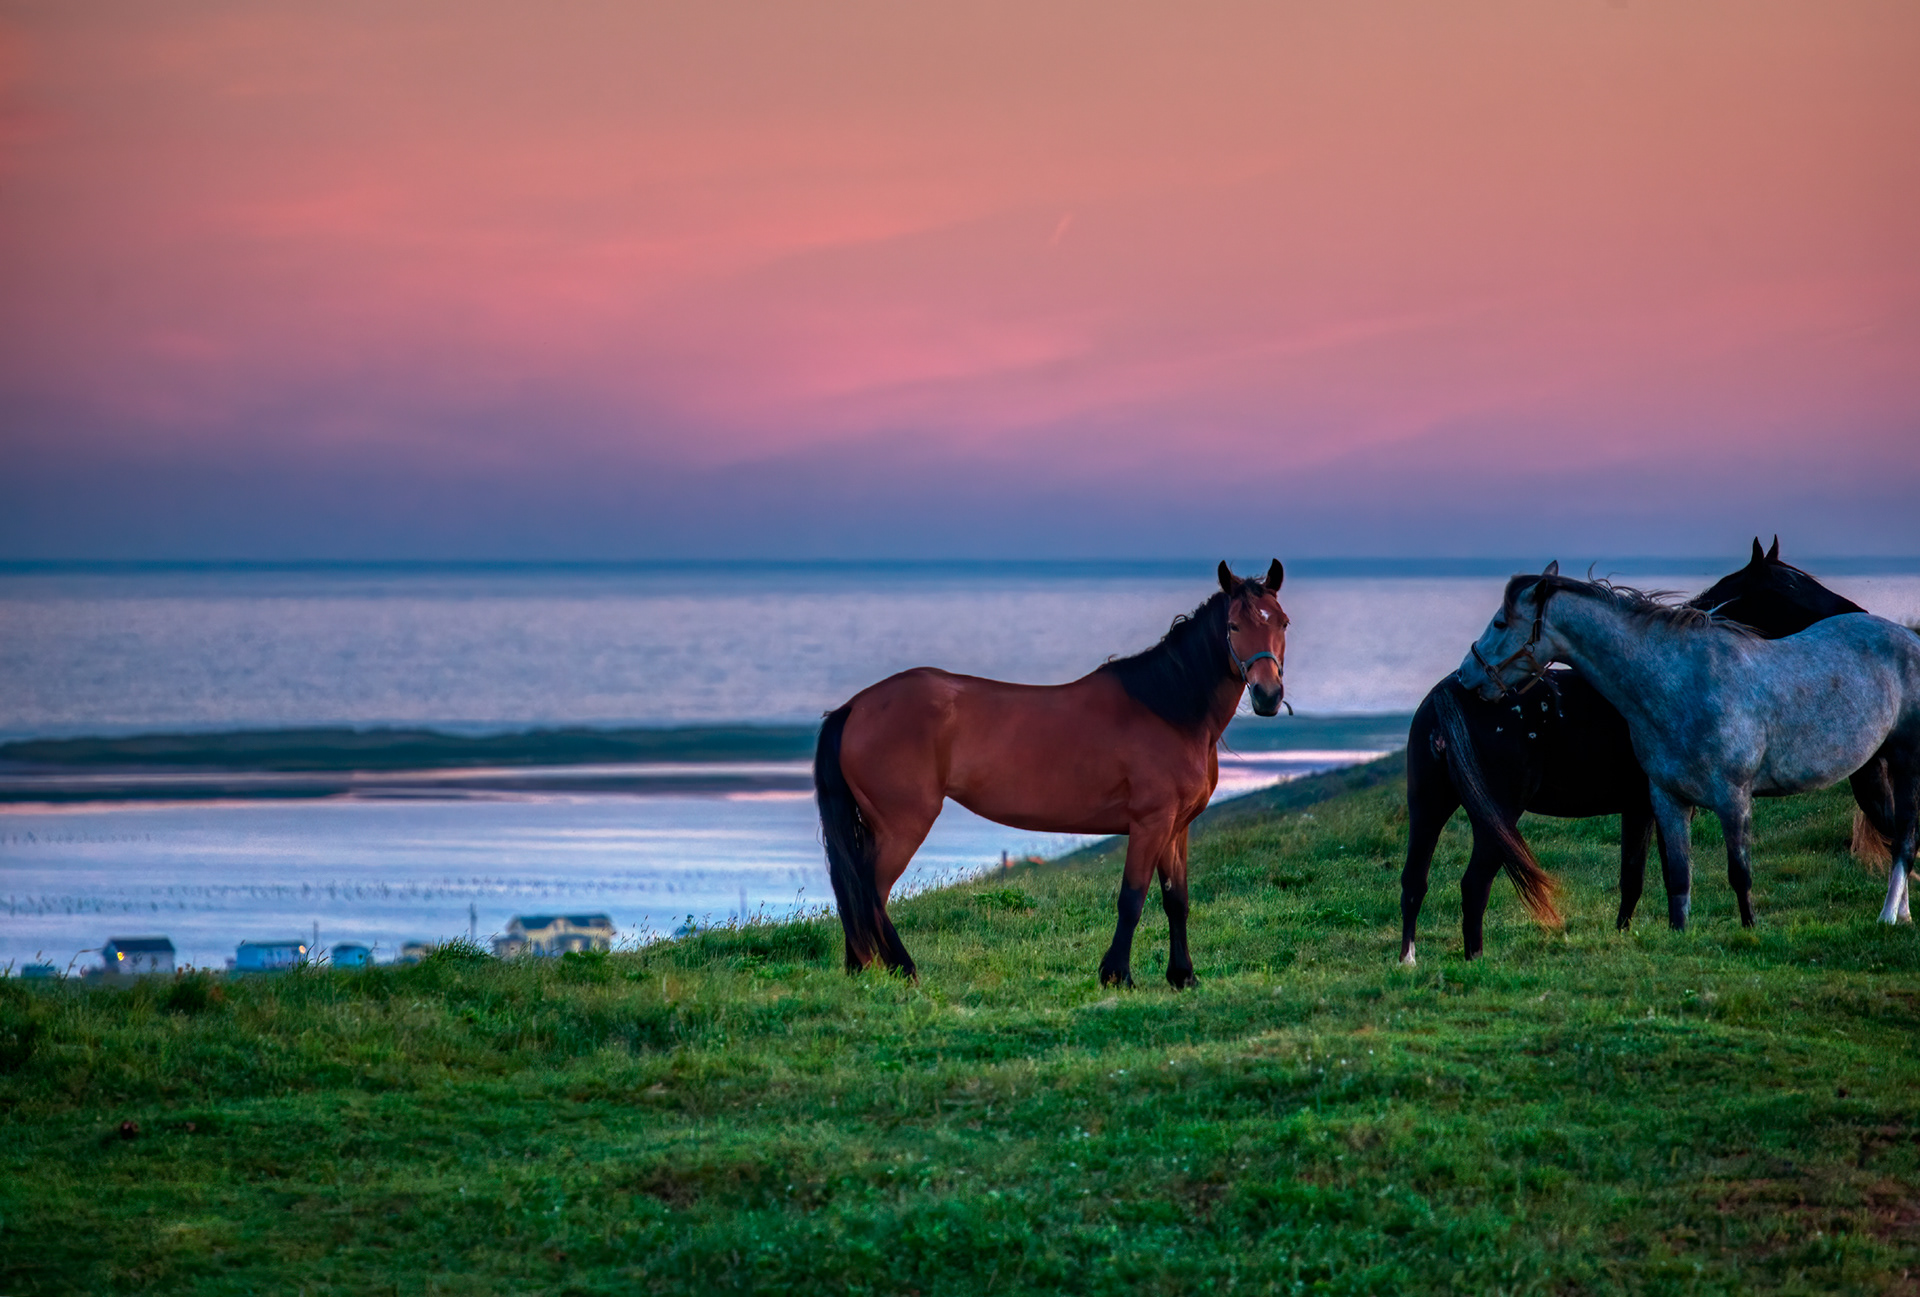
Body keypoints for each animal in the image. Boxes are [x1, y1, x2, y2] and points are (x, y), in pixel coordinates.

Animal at [814, 561, 1290, 987]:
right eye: (1233, 626)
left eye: (1282, 623)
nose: (1267, 695)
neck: (1169, 709)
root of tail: (855, 707)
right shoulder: (1150, 823)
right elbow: (1132, 898)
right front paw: (1116, 975)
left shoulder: (1176, 828)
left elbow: (1177, 901)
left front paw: (1183, 976)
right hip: (903, 826)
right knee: (871, 891)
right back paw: (903, 969)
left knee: (859, 892)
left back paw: (861, 969)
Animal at [1398, 539, 1890, 962]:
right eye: (1791, 586)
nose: (1859, 614)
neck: (1662, 676)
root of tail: (1446, 694)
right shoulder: (1656, 803)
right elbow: (1662, 874)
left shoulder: (1639, 808)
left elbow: (1634, 878)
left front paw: (1623, 936)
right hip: (1496, 816)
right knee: (1473, 885)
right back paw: (1473, 958)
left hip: (1429, 809)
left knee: (1414, 882)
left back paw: (1409, 959)